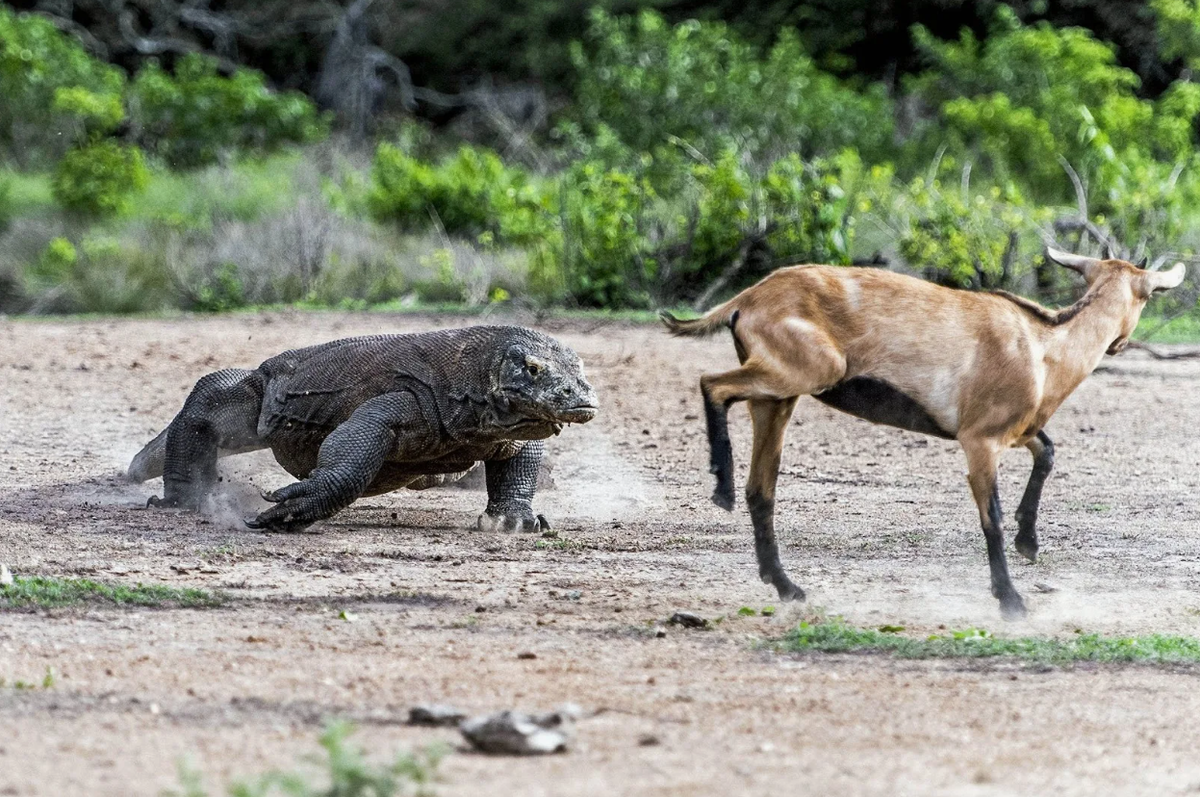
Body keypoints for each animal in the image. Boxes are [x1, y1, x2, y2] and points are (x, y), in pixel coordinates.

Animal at [662, 249, 1185, 614]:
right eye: (1148, 296)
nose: (1118, 345)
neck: (1044, 348)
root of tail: (746, 299)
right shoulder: (980, 440)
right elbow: (990, 518)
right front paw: (1011, 600)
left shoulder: (1017, 431)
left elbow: (1048, 452)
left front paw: (1029, 541)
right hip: (806, 371)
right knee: (712, 384)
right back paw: (722, 488)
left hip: (778, 399)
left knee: (762, 487)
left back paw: (786, 584)